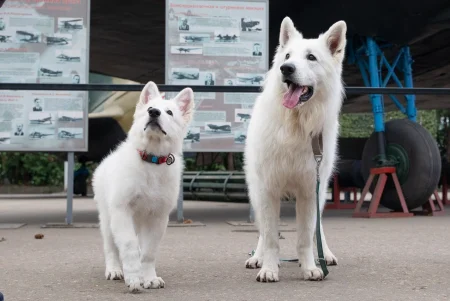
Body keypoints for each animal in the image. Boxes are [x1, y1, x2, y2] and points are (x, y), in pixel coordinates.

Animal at [92, 81, 194, 292]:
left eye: (169, 112)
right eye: (149, 108)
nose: (153, 112)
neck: (151, 160)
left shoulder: (157, 218)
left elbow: (148, 252)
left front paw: (148, 278)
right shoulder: (122, 211)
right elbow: (129, 246)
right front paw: (133, 279)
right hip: (108, 219)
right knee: (110, 247)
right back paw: (114, 270)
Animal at [244, 17, 346, 282]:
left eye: (311, 57)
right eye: (287, 56)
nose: (286, 69)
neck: (296, 125)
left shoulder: (310, 190)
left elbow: (306, 237)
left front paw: (310, 267)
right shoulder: (268, 189)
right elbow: (271, 237)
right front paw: (269, 268)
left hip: (321, 190)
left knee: (318, 229)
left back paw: (324, 255)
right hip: (256, 192)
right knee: (263, 231)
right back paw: (257, 257)